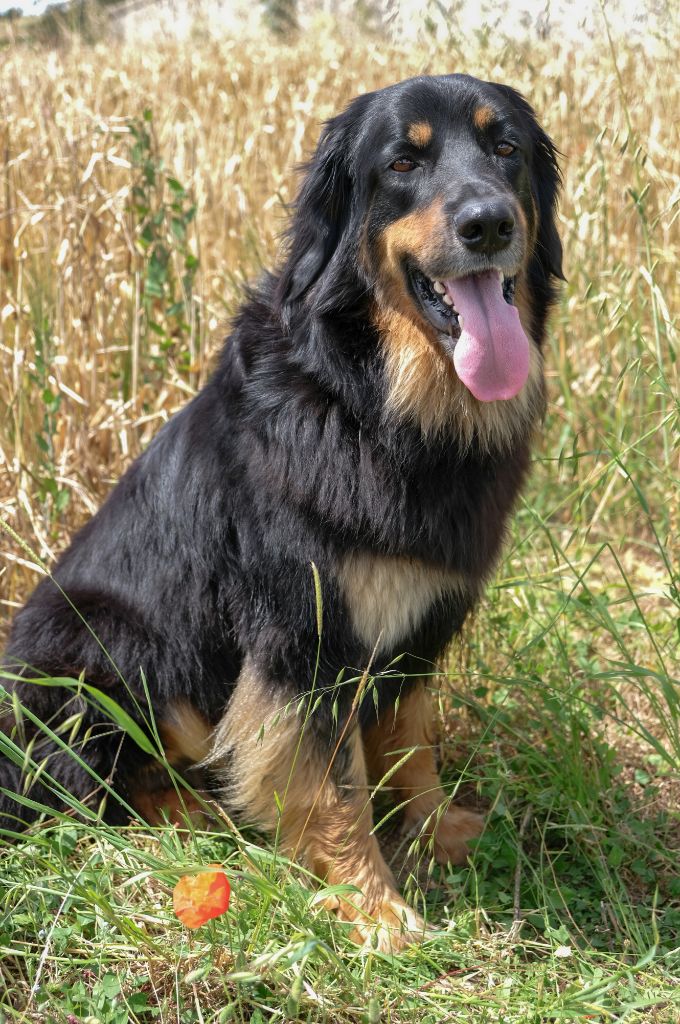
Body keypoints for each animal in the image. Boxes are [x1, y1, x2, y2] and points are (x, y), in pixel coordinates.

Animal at [0, 74, 561, 950]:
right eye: (403, 162)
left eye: (504, 147)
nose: (489, 223)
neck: (379, 399)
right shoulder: (305, 635)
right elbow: (332, 785)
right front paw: (374, 904)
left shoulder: (418, 622)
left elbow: (410, 741)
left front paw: (437, 830)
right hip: (101, 636)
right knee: (94, 795)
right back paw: (198, 820)